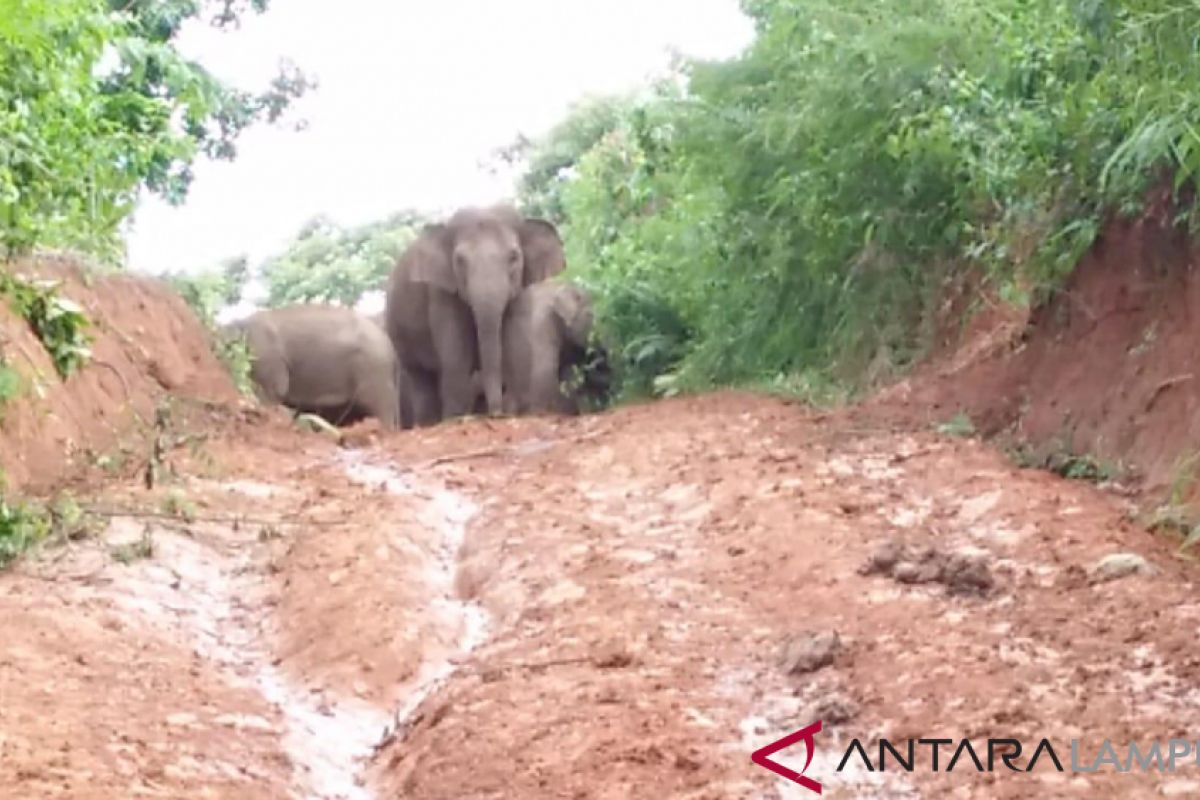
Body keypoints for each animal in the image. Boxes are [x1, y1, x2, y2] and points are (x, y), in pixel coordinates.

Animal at [386, 205, 568, 424]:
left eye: (514, 257)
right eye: (459, 260)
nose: (497, 414)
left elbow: (517, 339)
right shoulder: (442, 293)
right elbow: (456, 351)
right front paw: (455, 419)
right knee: (421, 377)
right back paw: (430, 423)